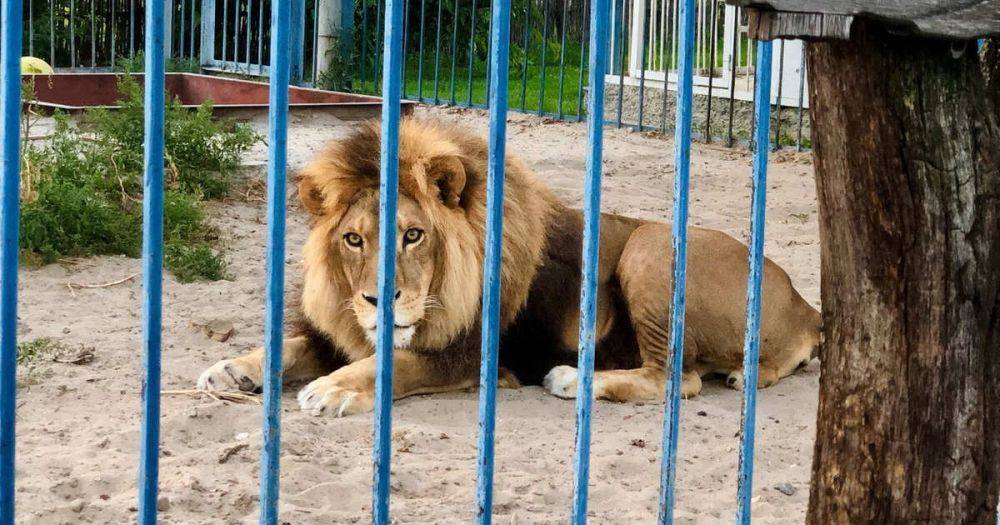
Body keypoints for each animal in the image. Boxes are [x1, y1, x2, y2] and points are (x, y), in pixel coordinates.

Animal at [197, 117, 820, 414]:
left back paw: (570, 379)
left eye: (413, 235)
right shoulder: (342, 329)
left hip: (651, 243)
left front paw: (333, 389)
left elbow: (395, 364)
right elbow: (293, 344)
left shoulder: (474, 355)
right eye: (353, 240)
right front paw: (232, 369)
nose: (378, 300)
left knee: (676, 379)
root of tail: (805, 305)